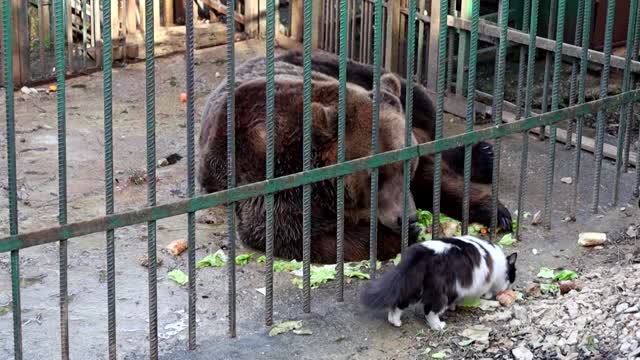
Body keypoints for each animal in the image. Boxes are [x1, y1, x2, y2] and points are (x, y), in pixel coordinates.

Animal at [362, 235, 516, 330]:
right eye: (512, 277)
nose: (509, 287)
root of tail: (426, 252)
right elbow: (482, 297)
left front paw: (454, 307)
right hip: (439, 290)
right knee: (430, 310)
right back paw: (438, 326)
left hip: (413, 286)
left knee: (398, 303)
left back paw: (395, 321)